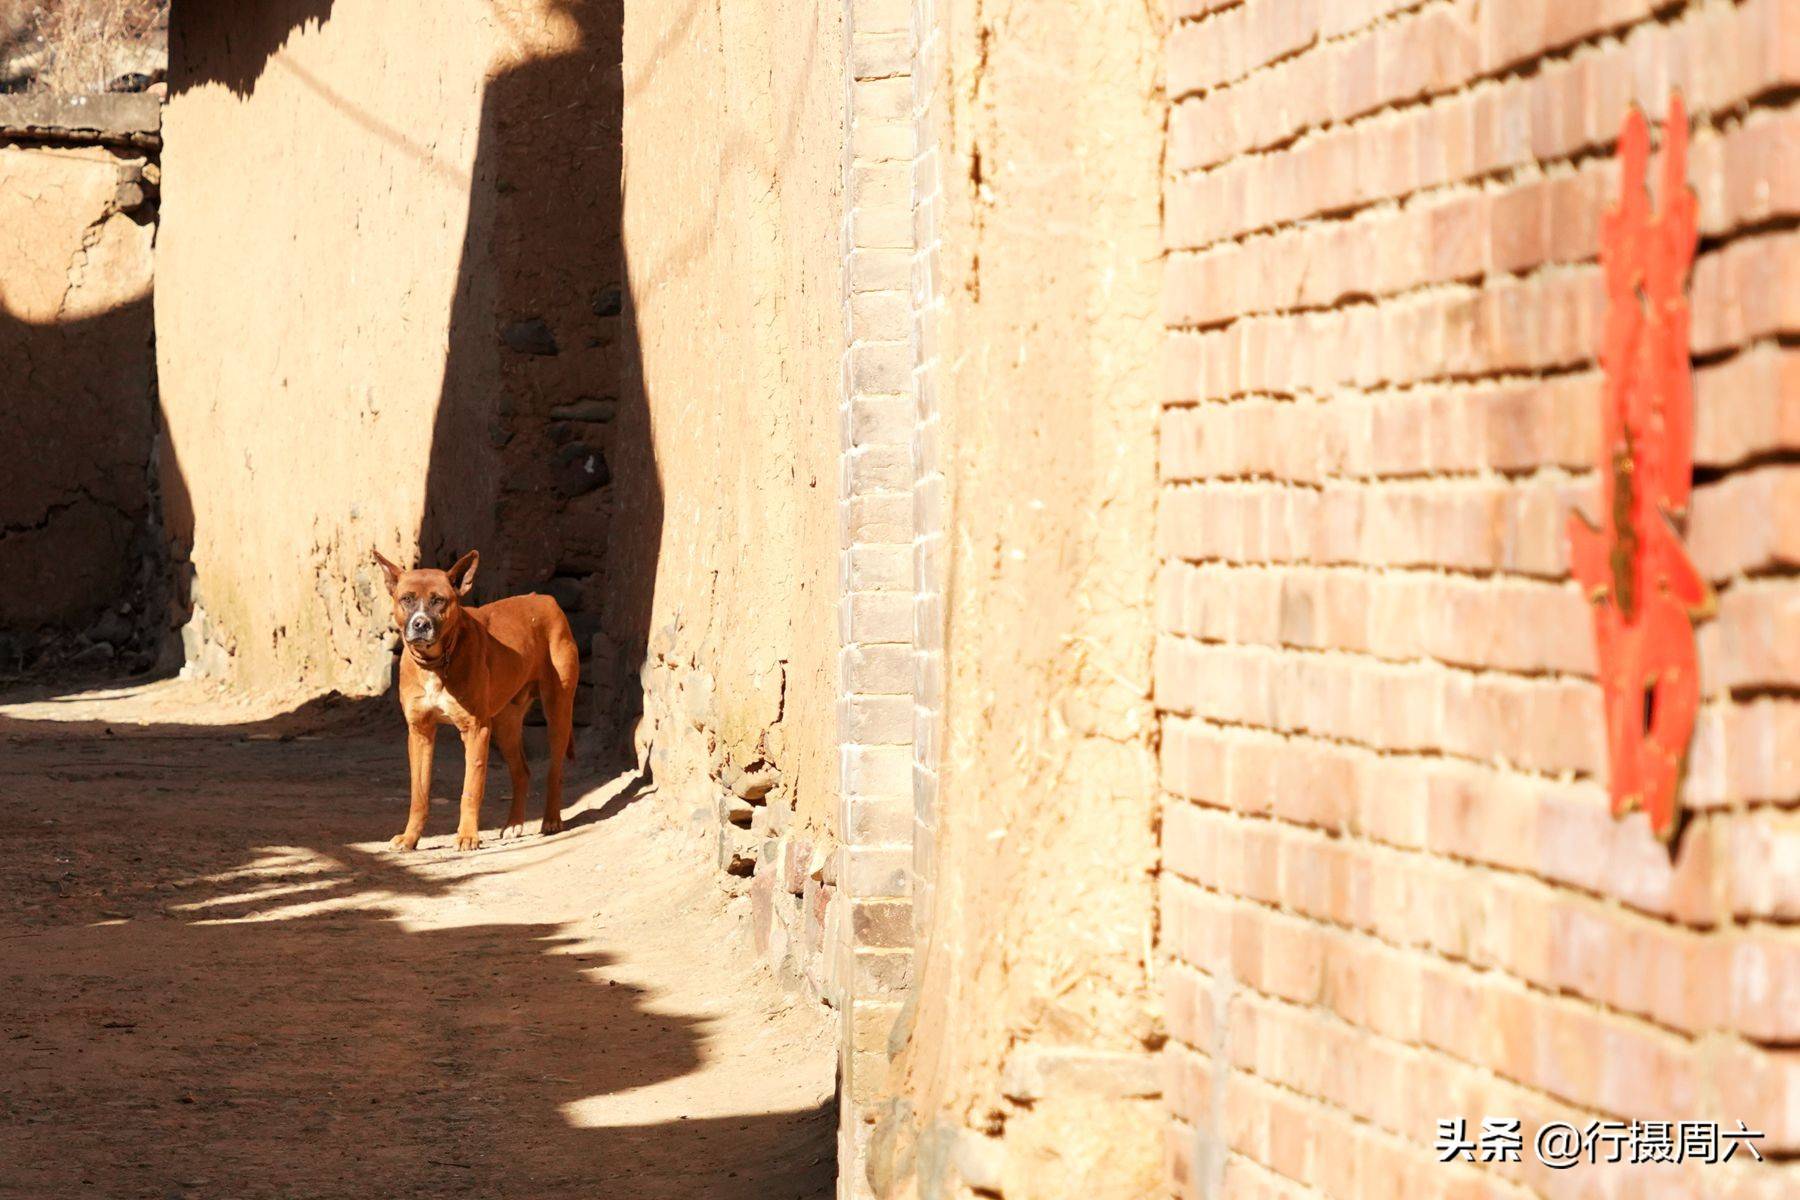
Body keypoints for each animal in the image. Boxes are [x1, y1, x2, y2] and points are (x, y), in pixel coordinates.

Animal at [370, 554, 579, 852]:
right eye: (407, 599)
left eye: (438, 600)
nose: (421, 624)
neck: (437, 664)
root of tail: (546, 599)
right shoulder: (420, 732)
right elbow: (419, 795)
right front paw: (410, 837)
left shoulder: (475, 730)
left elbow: (471, 789)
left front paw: (468, 835)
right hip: (505, 726)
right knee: (522, 772)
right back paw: (514, 823)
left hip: (558, 711)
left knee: (555, 771)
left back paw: (551, 819)